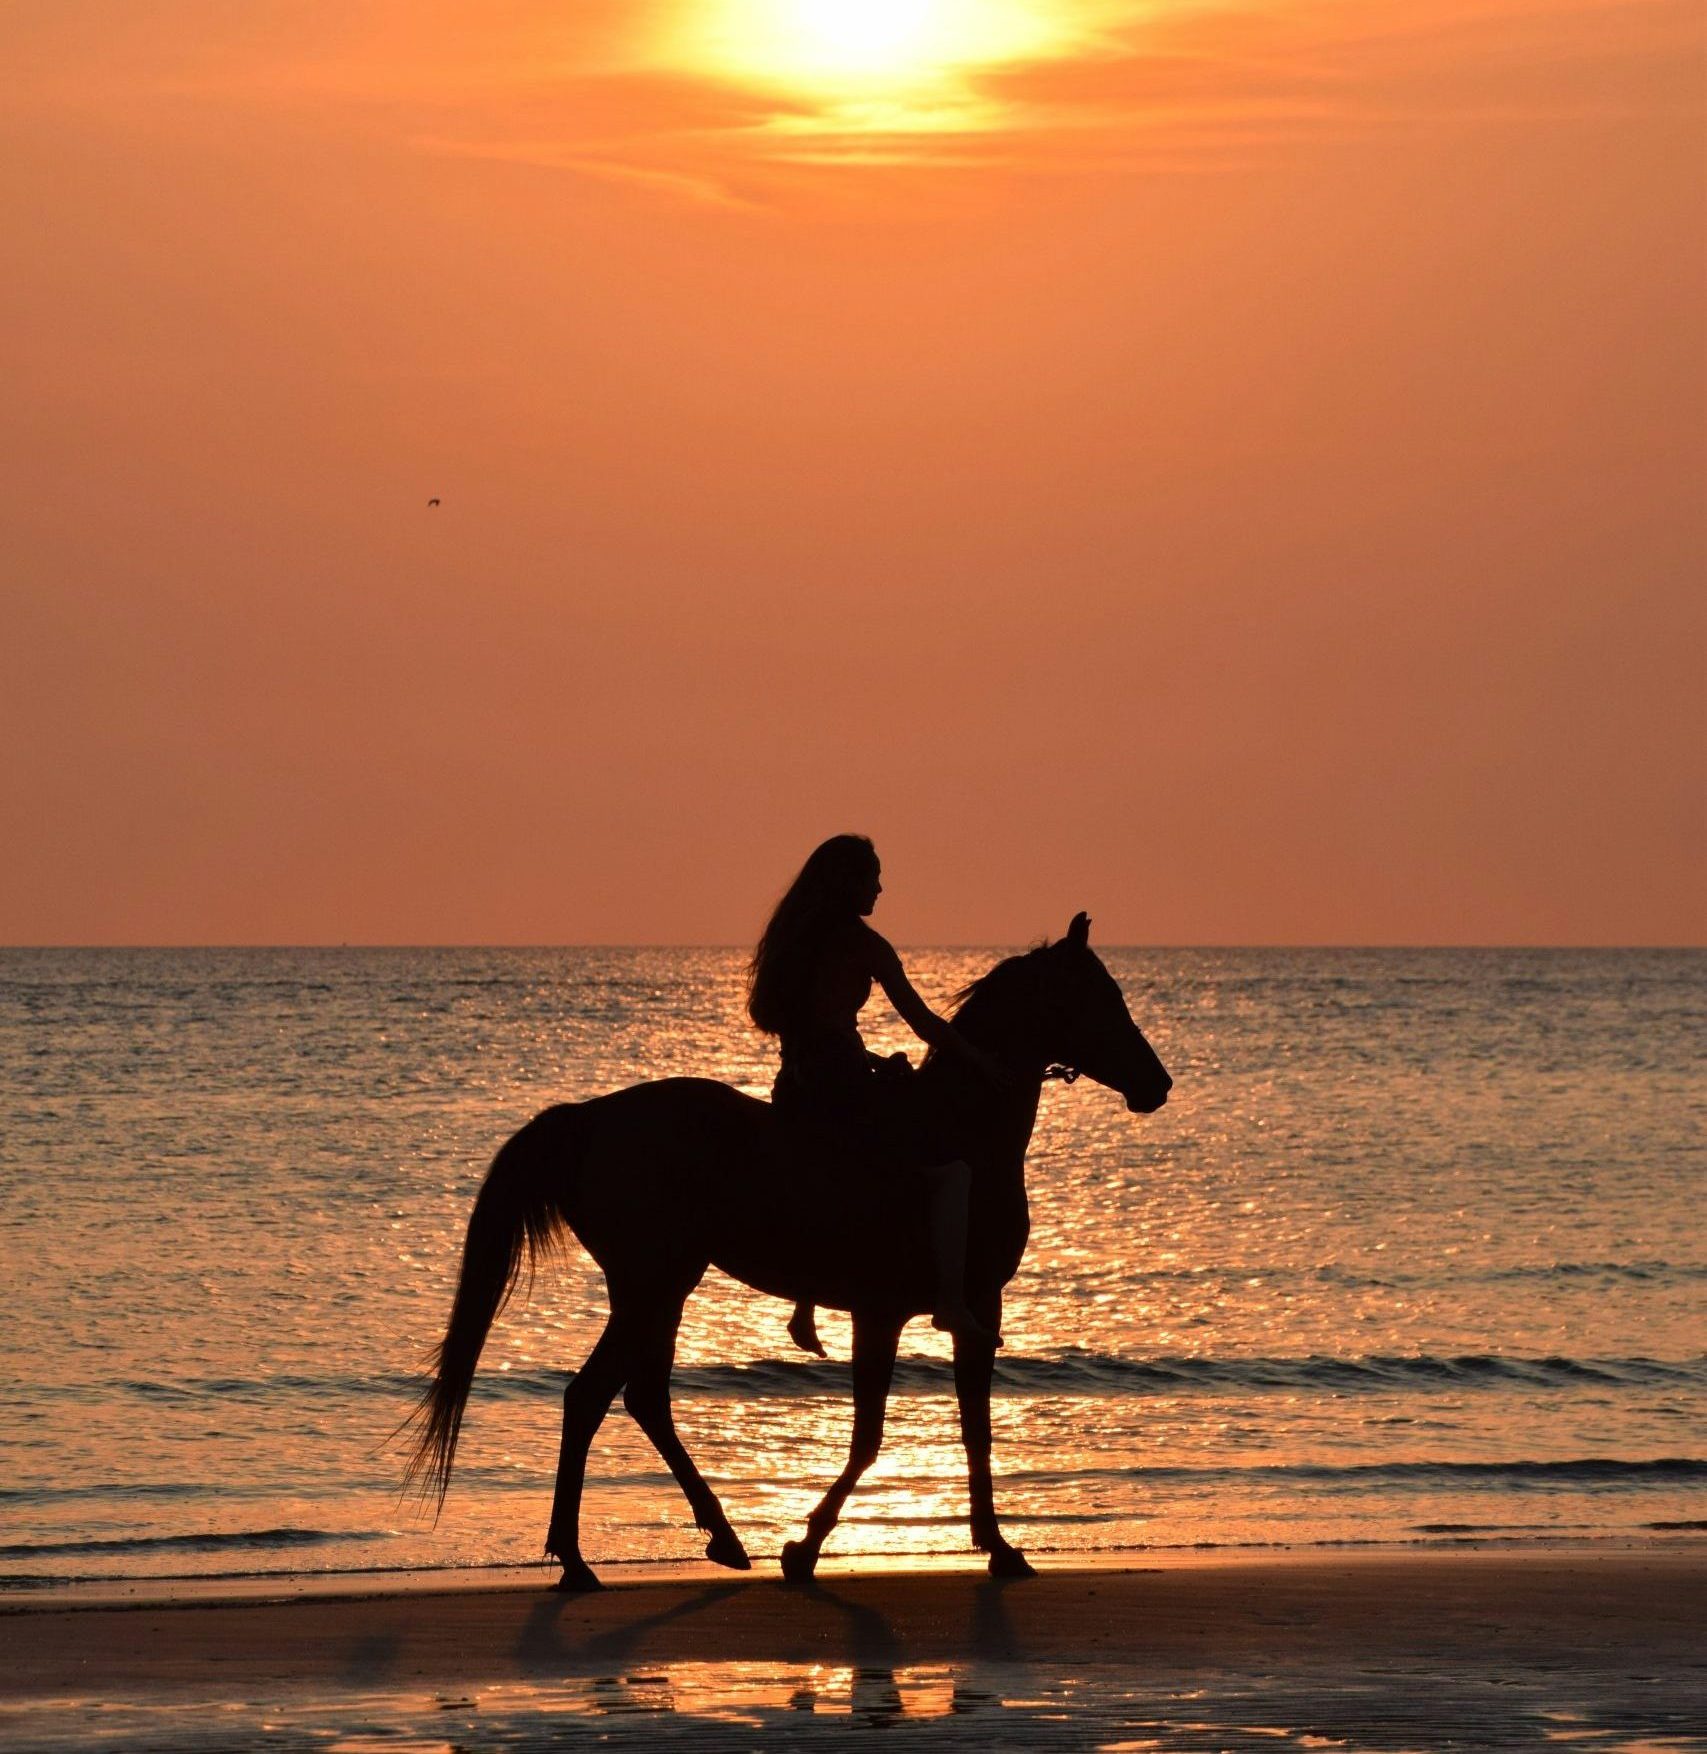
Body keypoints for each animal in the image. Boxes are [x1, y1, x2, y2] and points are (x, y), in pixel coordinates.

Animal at [405, 912, 1171, 1589]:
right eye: (1099, 998)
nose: (1157, 1084)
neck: (959, 1130)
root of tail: (592, 1119)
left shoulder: (975, 1311)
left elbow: (975, 1431)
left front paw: (998, 1547)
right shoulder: (886, 1314)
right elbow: (870, 1436)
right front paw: (806, 1546)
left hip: (661, 1289)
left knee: (642, 1399)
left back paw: (719, 1537)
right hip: (652, 1285)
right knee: (589, 1398)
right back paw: (576, 1559)